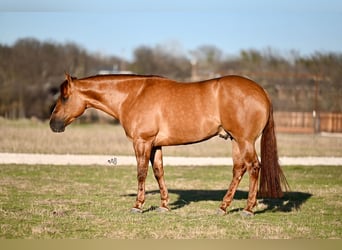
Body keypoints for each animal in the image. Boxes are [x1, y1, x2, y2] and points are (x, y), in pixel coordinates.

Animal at [49, 73, 288, 216]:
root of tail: (261, 91)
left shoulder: (142, 142)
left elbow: (141, 173)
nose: (53, 124)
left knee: (254, 167)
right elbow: (158, 172)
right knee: (239, 169)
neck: (133, 95)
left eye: (65, 97)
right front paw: (164, 205)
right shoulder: (155, 145)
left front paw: (138, 205)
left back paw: (248, 209)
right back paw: (223, 207)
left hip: (245, 141)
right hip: (236, 141)